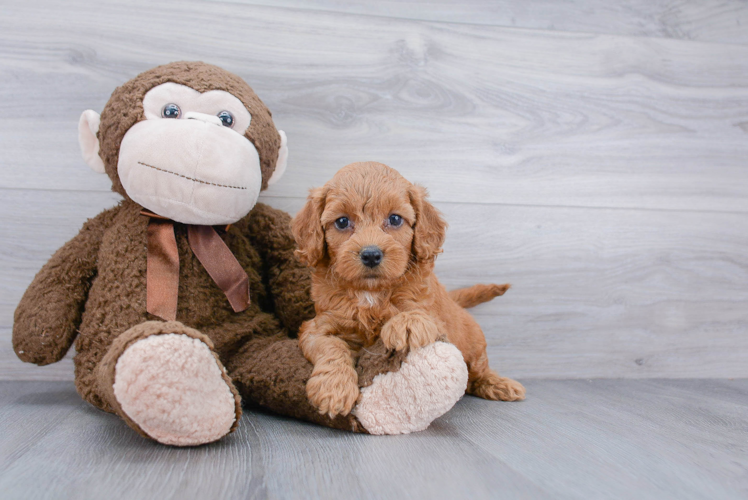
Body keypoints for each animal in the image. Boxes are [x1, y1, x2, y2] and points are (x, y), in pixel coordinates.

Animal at [292, 163, 524, 418]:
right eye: (342, 222)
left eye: (395, 219)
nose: (371, 255)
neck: (371, 292)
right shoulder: (317, 326)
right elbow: (331, 346)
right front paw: (333, 388)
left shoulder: (435, 318)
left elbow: (417, 313)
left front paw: (405, 323)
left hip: (473, 342)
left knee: (478, 372)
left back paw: (500, 384)